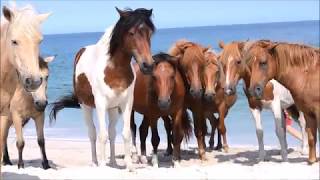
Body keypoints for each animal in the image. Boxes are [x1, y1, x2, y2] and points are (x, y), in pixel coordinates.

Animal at [48, 7, 155, 170]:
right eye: (131, 33)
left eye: (150, 33)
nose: (147, 65)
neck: (114, 70)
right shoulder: (100, 104)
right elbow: (102, 135)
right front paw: (103, 166)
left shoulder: (126, 104)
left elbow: (125, 134)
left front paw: (129, 166)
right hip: (85, 106)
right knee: (92, 133)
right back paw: (95, 162)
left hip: (113, 109)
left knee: (112, 132)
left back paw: (113, 162)